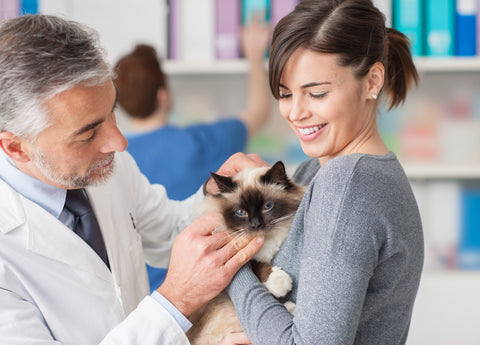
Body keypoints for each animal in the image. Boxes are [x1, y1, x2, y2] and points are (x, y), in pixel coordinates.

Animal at [186, 161, 306, 344]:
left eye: (267, 207)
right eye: (240, 212)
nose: (256, 225)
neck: (267, 240)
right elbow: (253, 263)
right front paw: (279, 282)